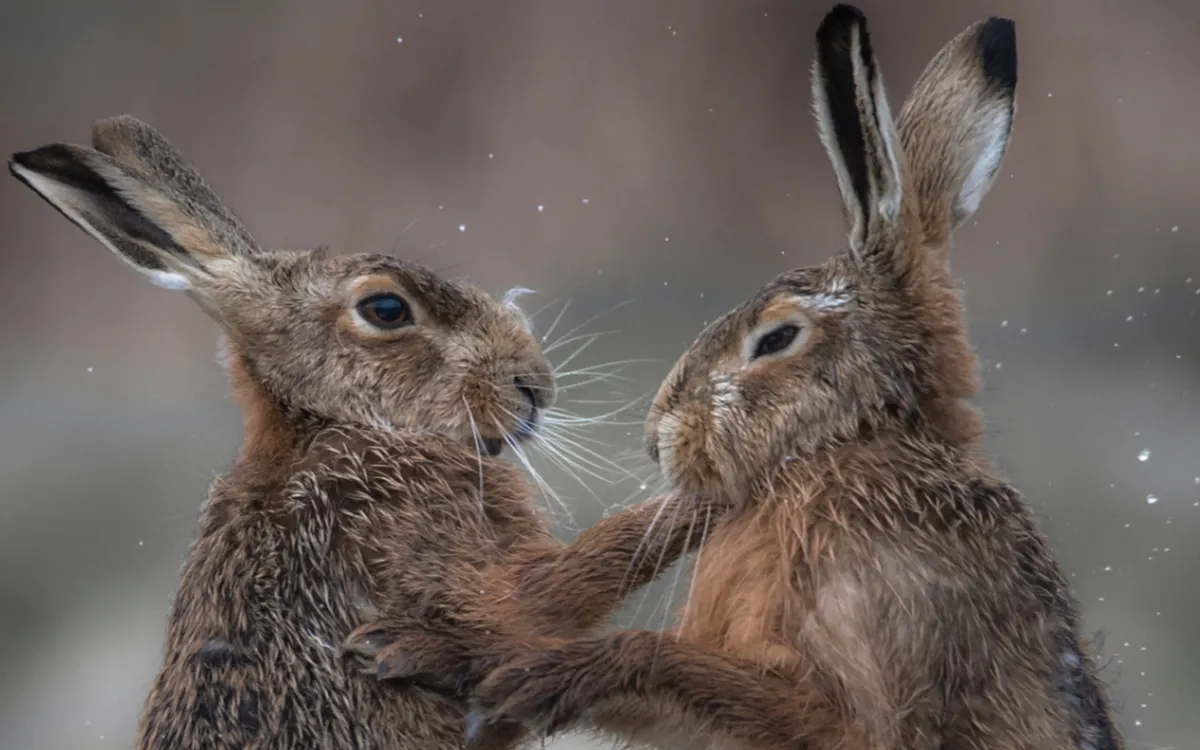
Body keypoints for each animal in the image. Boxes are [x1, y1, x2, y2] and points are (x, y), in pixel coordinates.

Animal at [7, 115, 724, 750]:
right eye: (385, 309)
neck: (329, 426)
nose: (535, 387)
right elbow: (566, 582)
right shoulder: (426, 546)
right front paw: (700, 501)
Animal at [350, 5, 1126, 750]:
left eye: (777, 338)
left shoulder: (867, 691)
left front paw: (506, 669)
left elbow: (666, 659)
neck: (849, 447)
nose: (657, 439)